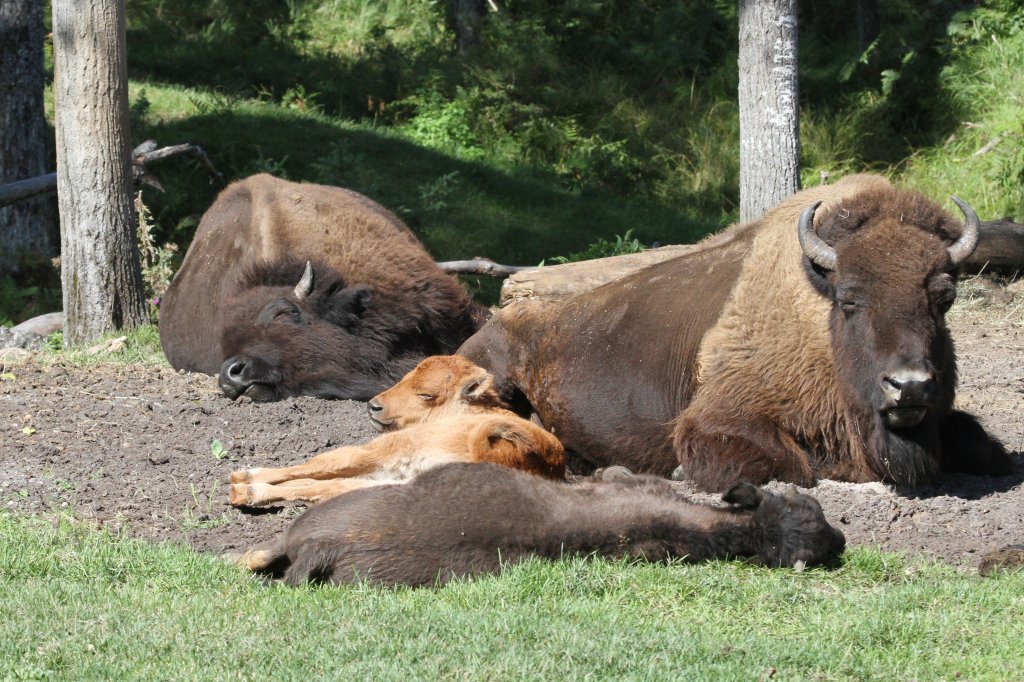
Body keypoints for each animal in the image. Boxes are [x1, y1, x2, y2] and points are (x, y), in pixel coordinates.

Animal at [226, 350, 569, 503]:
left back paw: (243, 488)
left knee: (322, 474)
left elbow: (314, 466)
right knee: (327, 485)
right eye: (405, 377)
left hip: (382, 452)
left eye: (426, 394)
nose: (374, 406)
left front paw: (244, 476)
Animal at [460, 174, 1011, 489]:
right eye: (849, 300)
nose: (909, 386)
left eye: (943, 299)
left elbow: (983, 447)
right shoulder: (717, 416)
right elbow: (791, 466)